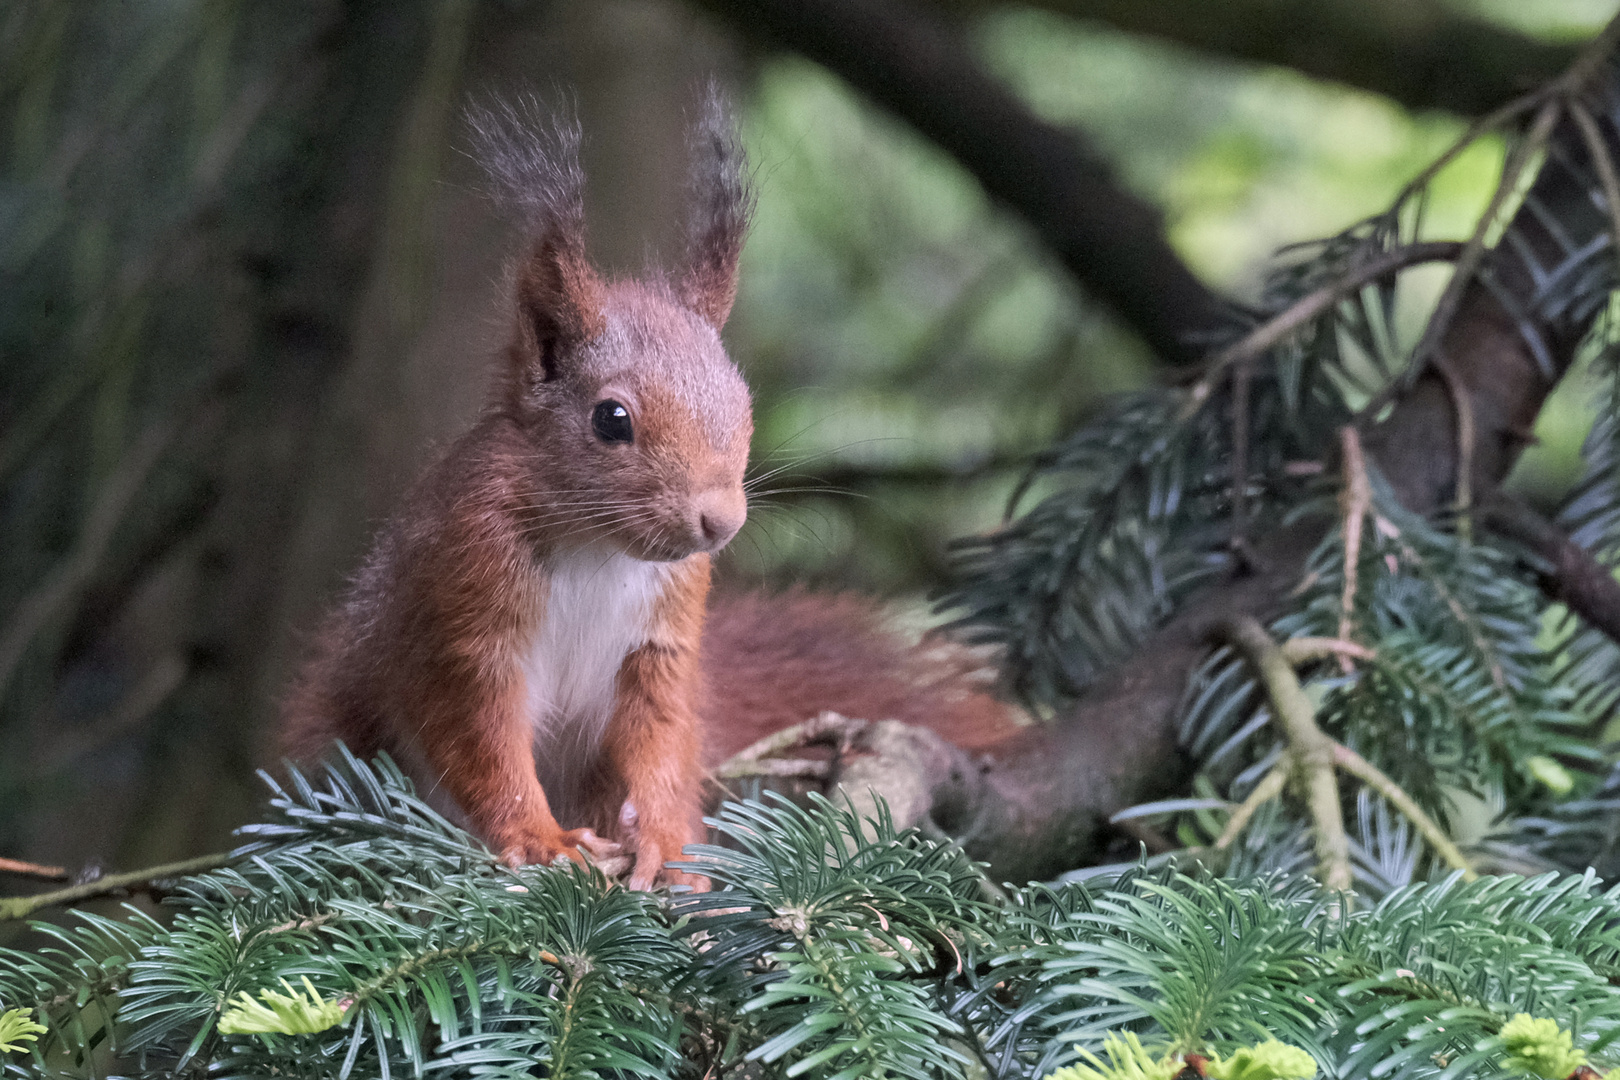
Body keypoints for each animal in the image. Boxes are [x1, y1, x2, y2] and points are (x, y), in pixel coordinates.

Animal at [277, 93, 1010, 893]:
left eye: (743, 404)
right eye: (612, 419)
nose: (720, 521)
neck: (595, 548)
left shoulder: (664, 641)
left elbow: (660, 739)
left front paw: (666, 839)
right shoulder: (461, 614)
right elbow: (480, 741)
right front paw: (540, 840)